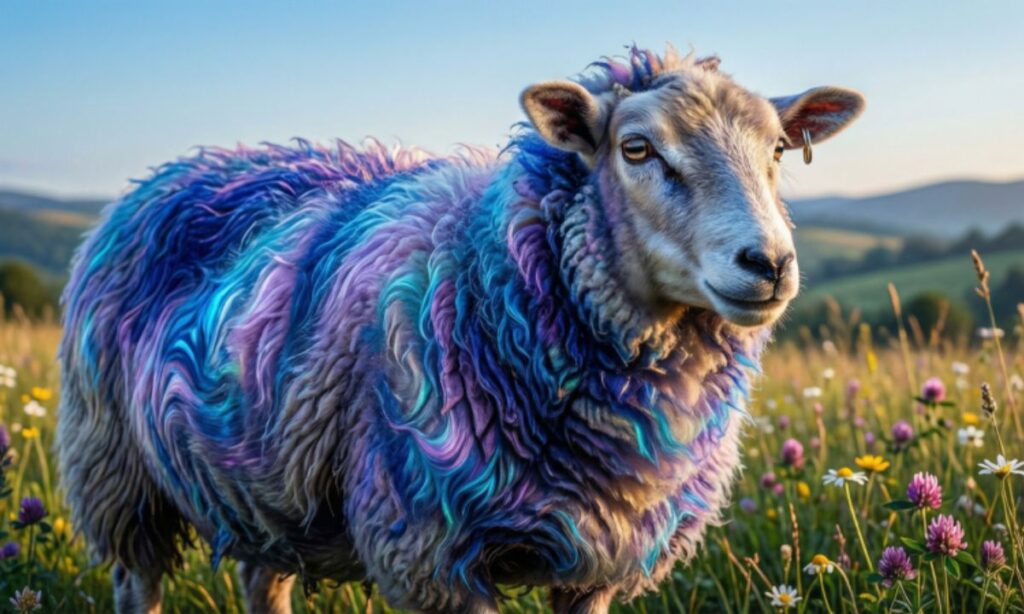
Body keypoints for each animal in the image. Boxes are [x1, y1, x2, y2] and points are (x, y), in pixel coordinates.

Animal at [57, 45, 864, 614]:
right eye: (636, 148)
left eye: (779, 150)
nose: (769, 263)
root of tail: (182, 168)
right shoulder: (434, 552)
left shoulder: (599, 560)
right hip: (116, 470)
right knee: (137, 581)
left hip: (261, 476)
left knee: (264, 582)